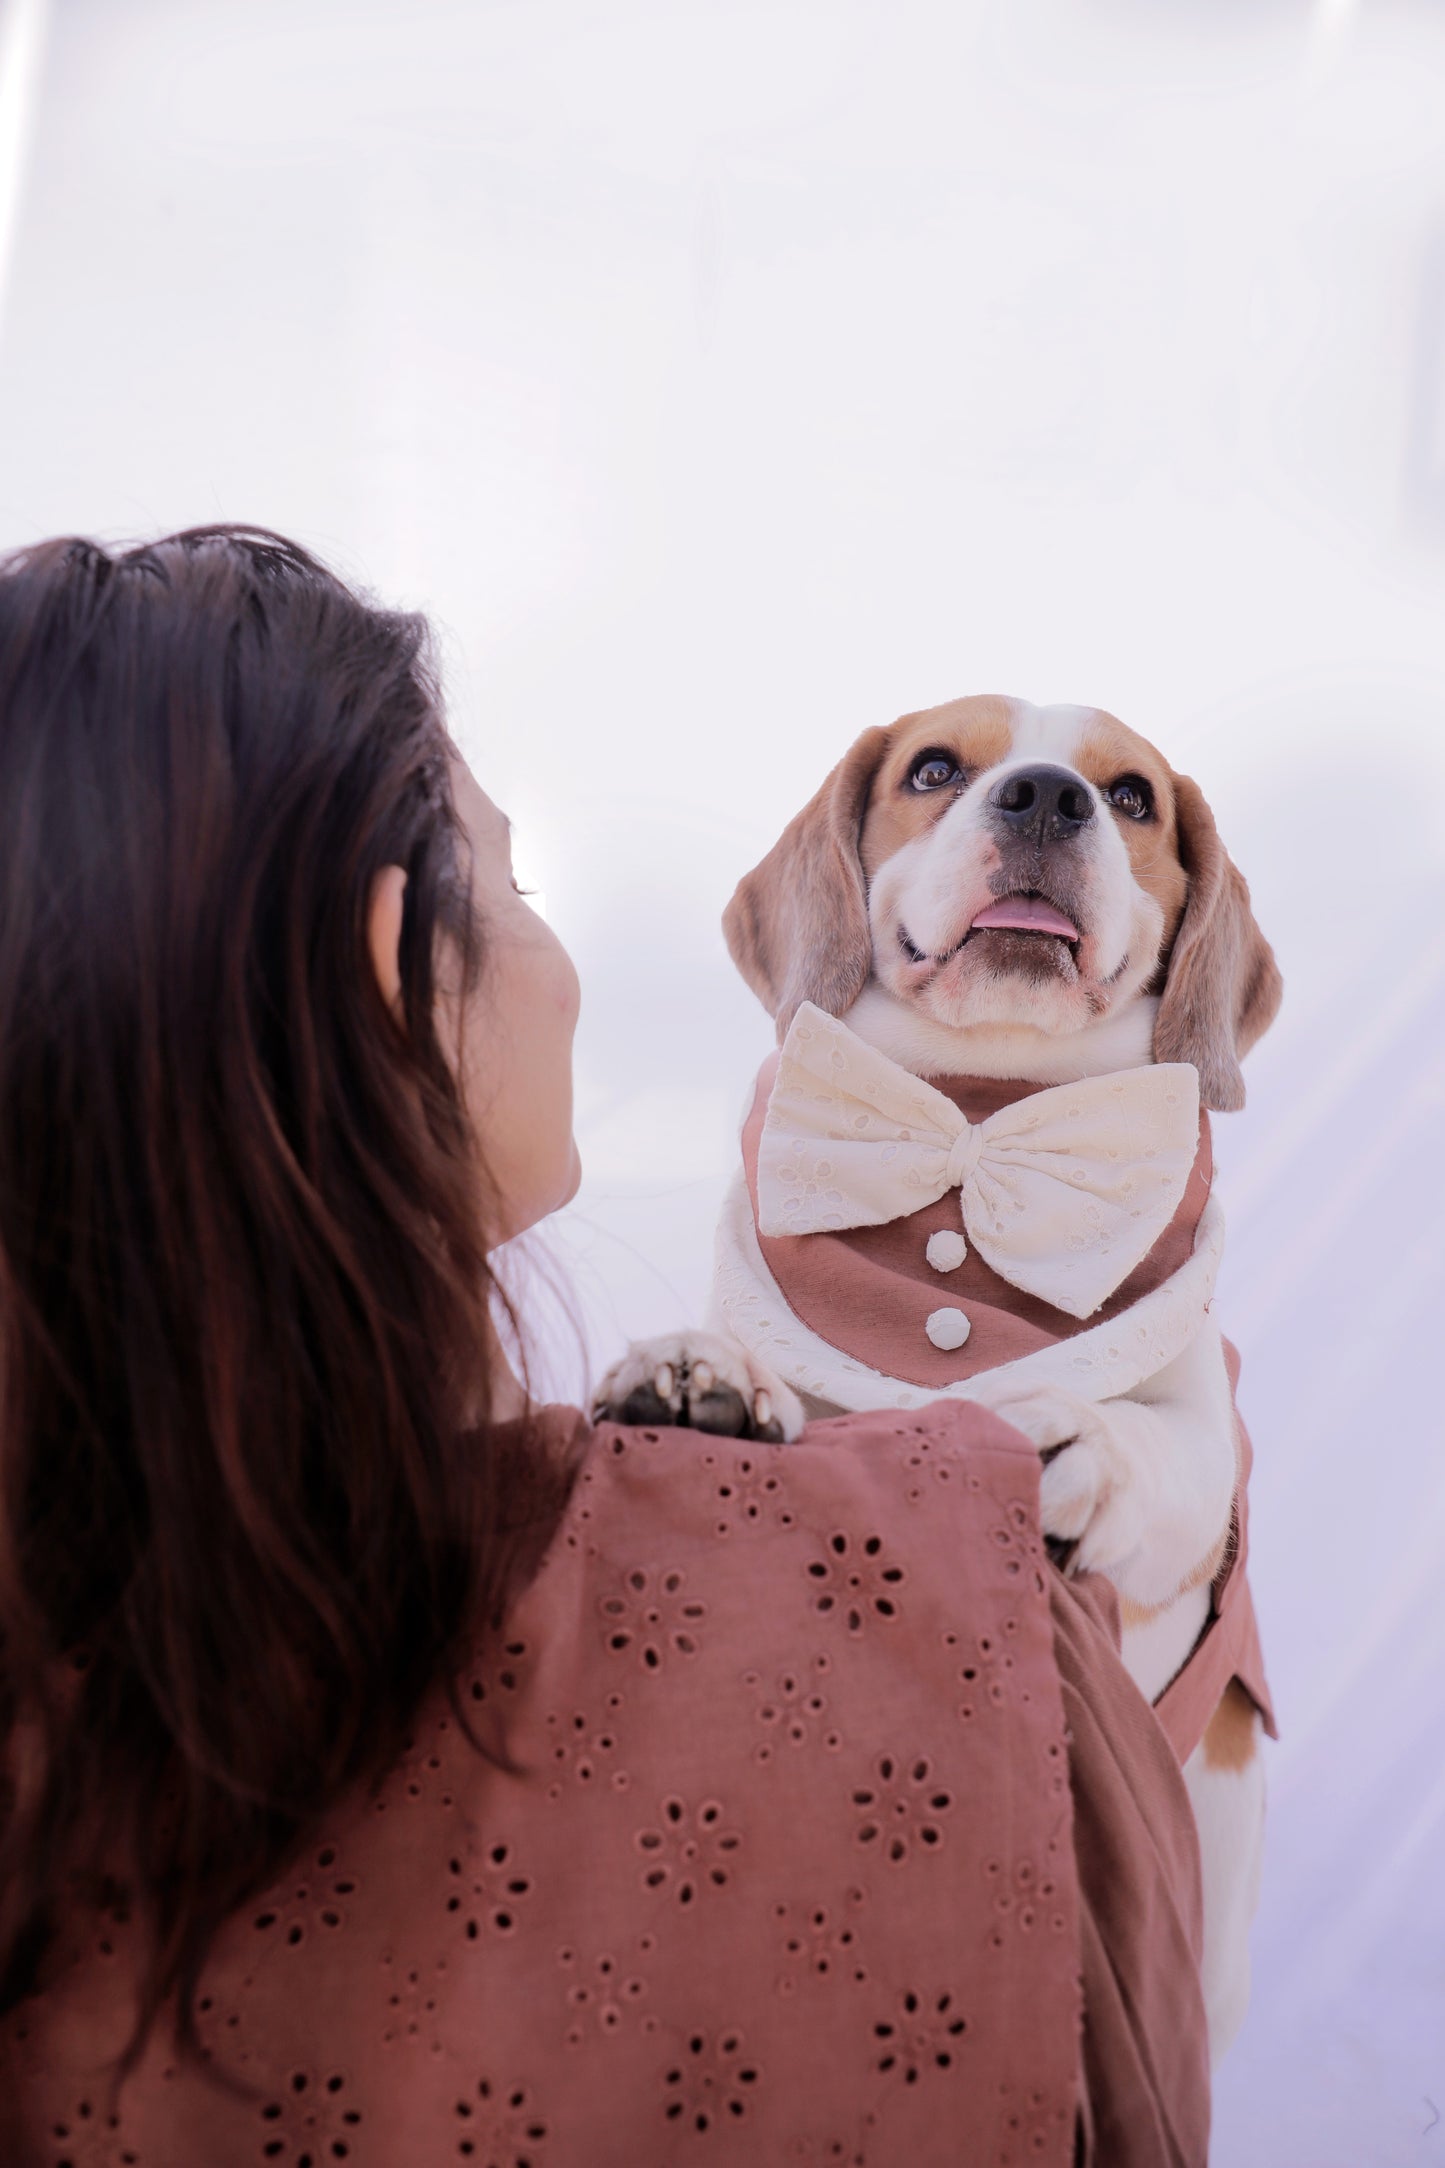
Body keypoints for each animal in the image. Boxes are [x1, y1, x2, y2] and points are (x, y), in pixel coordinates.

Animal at [593, 698, 1282, 2063]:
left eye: (1131, 797)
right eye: (930, 768)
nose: (1047, 797)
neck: (977, 1114)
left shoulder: (1200, 1450)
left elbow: (1154, 1453)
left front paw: (1070, 1441)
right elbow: (758, 1380)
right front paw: (694, 1369)